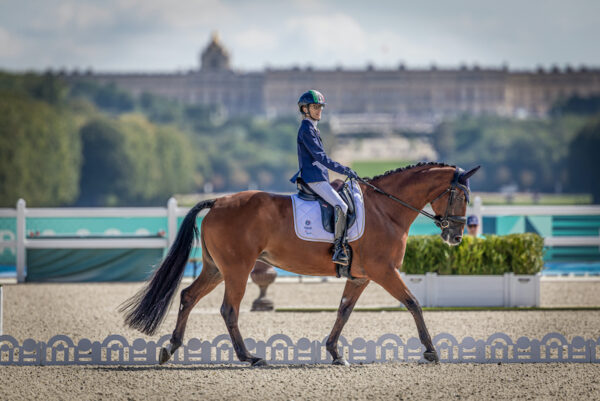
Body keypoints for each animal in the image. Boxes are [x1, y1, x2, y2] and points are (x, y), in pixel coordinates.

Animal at [120, 162, 478, 366]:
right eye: (460, 196)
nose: (456, 236)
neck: (385, 209)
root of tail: (219, 201)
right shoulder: (384, 271)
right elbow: (413, 303)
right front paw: (431, 351)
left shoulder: (360, 277)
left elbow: (344, 311)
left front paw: (334, 352)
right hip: (237, 269)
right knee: (229, 310)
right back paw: (249, 357)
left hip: (215, 269)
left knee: (188, 296)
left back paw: (170, 348)